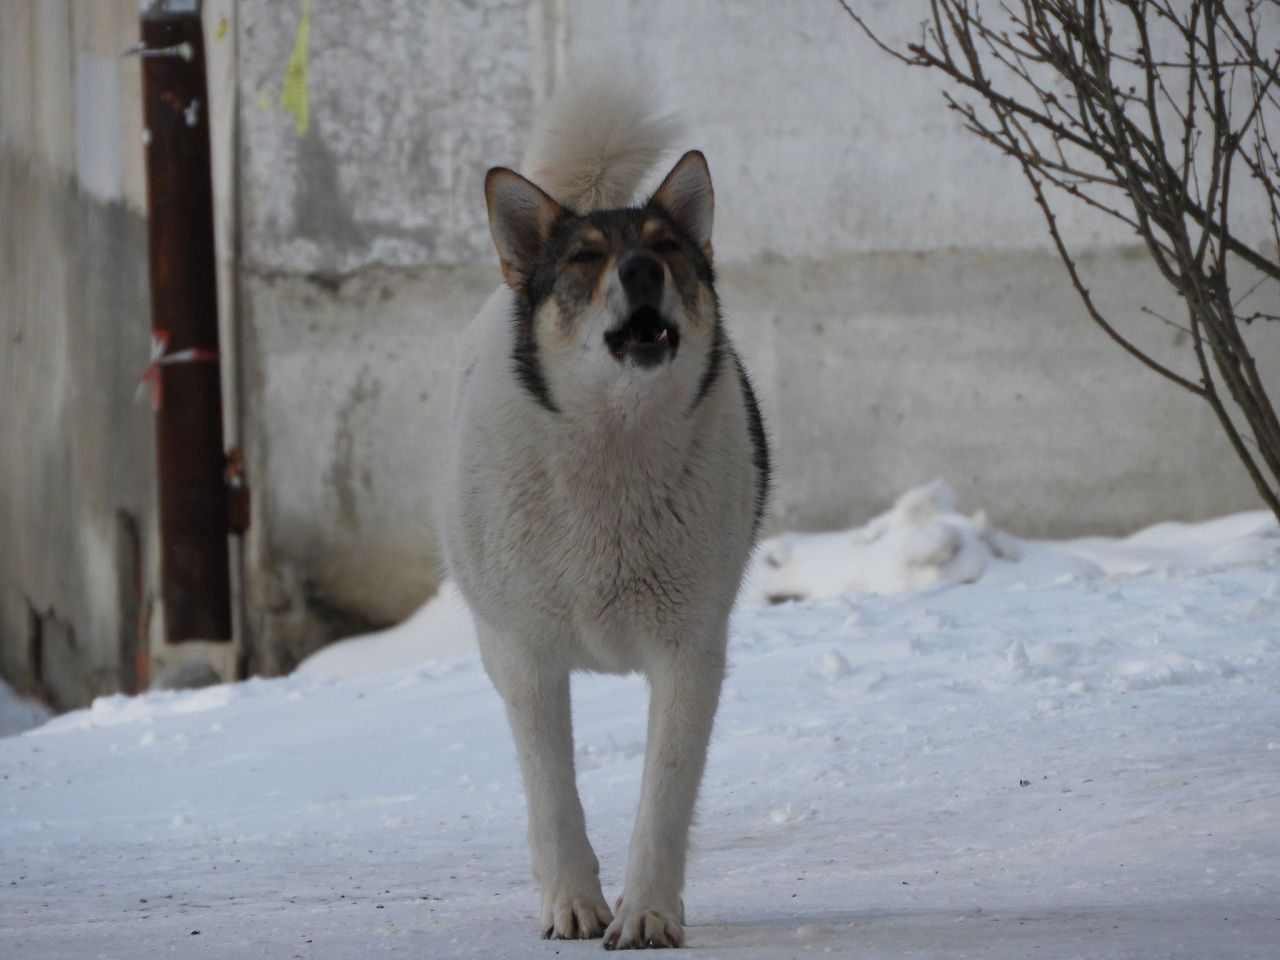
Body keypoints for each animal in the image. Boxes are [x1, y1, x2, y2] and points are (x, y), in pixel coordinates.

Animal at [442, 79, 768, 952]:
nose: (642, 267)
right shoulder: (526, 657)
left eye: (668, 247)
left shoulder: (689, 653)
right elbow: (553, 793)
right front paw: (574, 904)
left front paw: (647, 911)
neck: (612, 451)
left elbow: (664, 797)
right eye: (586, 258)